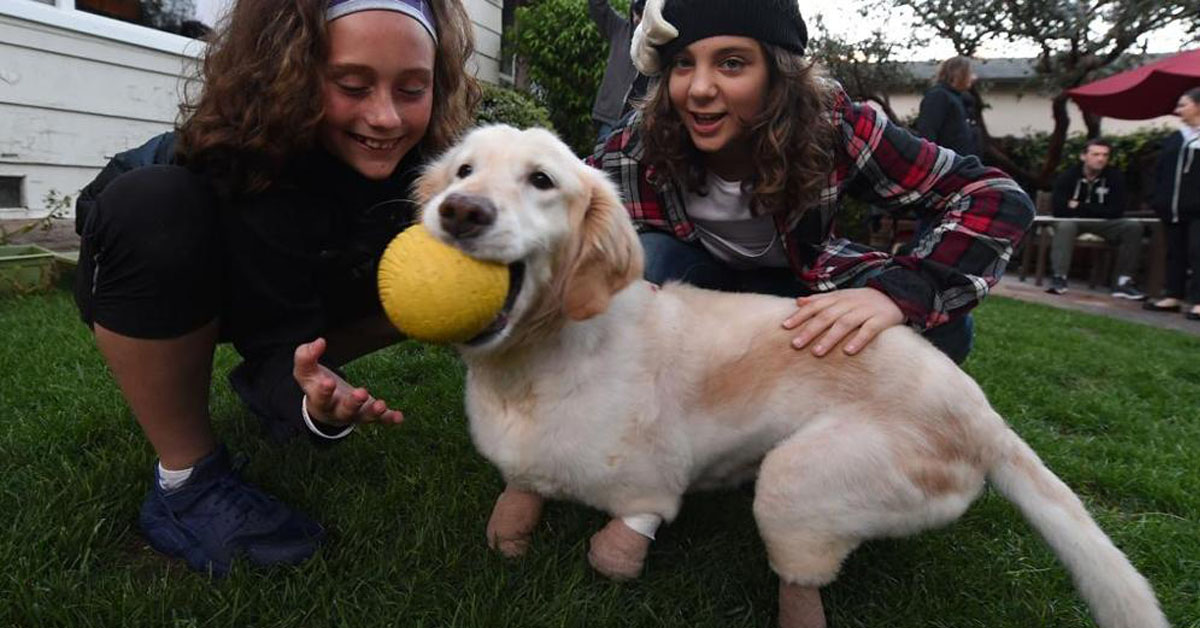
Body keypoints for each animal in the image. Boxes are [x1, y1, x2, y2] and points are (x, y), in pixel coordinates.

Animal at [410, 124, 1161, 628]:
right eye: (462, 171)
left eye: (542, 180)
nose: (461, 211)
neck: (529, 365)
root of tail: (982, 414)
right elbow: (520, 497)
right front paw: (512, 528)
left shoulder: (651, 482)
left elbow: (625, 534)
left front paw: (611, 551)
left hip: (797, 482)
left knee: (801, 579)